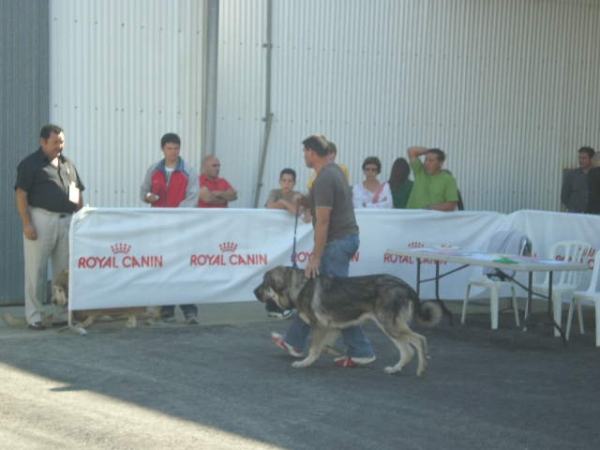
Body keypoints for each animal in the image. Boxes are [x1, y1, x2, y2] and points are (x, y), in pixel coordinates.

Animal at [253, 264, 440, 376]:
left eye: (264, 284)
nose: (254, 292)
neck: (300, 286)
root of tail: (405, 286)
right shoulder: (333, 326)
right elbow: (324, 347)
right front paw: (338, 354)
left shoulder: (320, 326)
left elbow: (314, 348)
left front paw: (305, 363)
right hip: (387, 327)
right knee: (407, 351)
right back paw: (395, 369)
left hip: (390, 325)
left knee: (420, 339)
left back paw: (421, 369)